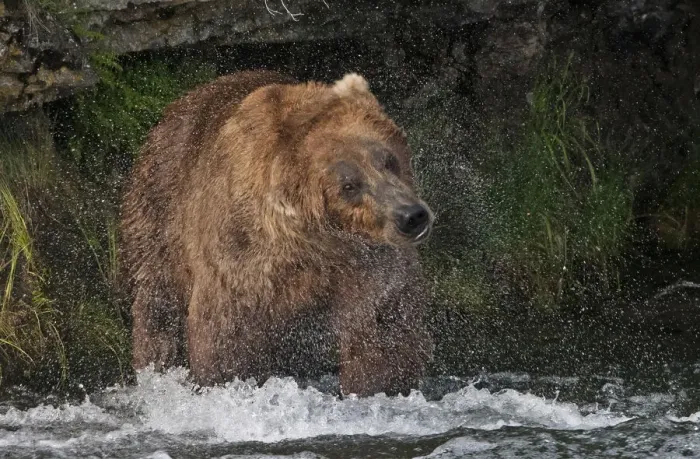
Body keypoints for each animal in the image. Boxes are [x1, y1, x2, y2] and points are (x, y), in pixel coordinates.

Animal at [119, 70, 435, 397]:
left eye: (389, 160)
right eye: (348, 185)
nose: (411, 216)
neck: (314, 243)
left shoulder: (367, 264)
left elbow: (381, 328)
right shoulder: (242, 256)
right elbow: (227, 334)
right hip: (159, 210)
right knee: (157, 303)